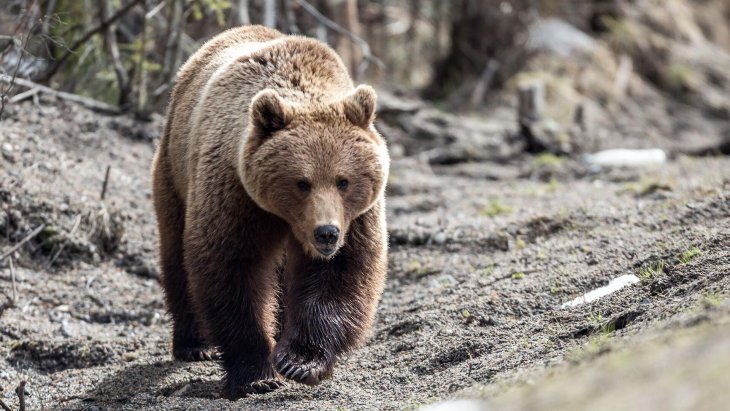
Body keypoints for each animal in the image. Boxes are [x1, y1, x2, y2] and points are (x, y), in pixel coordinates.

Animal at [151, 25, 389, 399]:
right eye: (302, 182)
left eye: (343, 181)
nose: (326, 233)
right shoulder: (235, 194)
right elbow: (232, 269)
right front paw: (256, 374)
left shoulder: (357, 217)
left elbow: (341, 272)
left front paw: (299, 361)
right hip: (174, 172)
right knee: (176, 253)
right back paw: (194, 344)